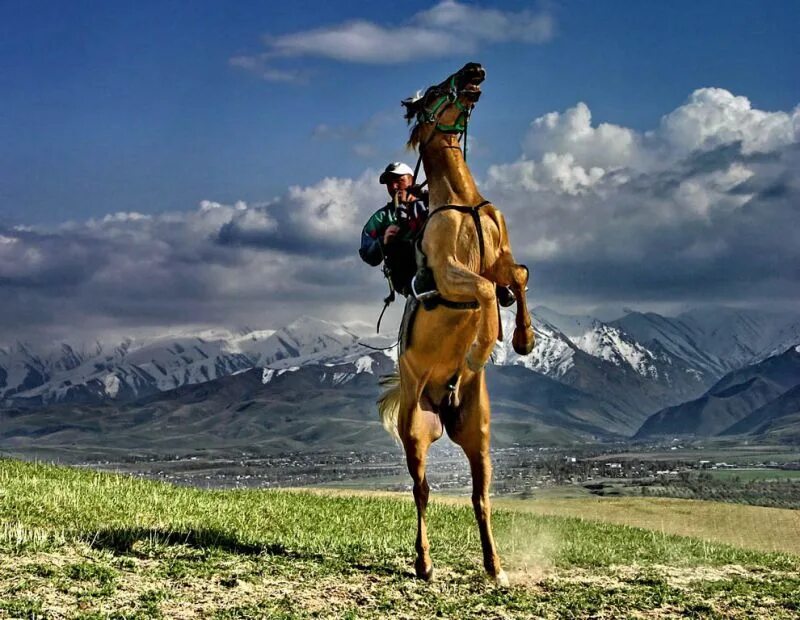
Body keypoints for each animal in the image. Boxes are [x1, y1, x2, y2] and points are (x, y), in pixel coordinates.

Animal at [378, 63, 536, 588]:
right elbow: (485, 293)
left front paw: (524, 339)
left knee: (479, 496)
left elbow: (517, 278)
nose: (475, 70)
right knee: (422, 491)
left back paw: (495, 566)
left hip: (477, 436)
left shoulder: (502, 257)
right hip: (415, 431)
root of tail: (441, 405)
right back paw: (424, 564)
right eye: (431, 91)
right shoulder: (451, 272)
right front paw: (480, 347)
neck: (463, 202)